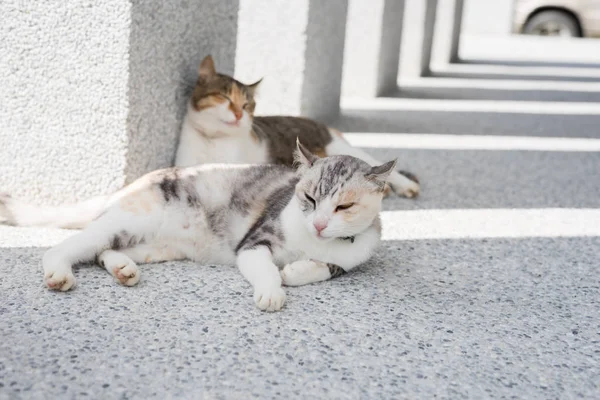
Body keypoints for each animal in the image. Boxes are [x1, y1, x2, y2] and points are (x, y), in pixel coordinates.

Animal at [0, 55, 418, 230]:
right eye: (222, 98)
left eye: (247, 104)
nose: (238, 114)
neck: (213, 144)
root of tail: (317, 122)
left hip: (344, 149)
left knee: (375, 166)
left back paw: (402, 185)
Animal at [38, 144, 394, 312]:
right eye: (309, 198)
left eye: (344, 207)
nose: (319, 224)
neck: (313, 243)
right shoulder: (253, 243)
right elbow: (267, 269)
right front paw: (273, 290)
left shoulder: (353, 255)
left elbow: (329, 267)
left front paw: (296, 270)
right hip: (131, 218)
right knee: (69, 245)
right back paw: (59, 273)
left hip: (152, 245)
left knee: (104, 251)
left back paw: (123, 269)